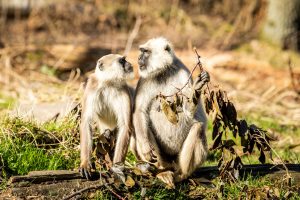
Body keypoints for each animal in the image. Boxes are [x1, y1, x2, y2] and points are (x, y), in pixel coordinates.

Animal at [132, 37, 210, 186]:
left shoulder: (183, 72)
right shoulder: (145, 80)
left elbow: (191, 114)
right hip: (163, 158)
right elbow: (139, 111)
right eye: (141, 51)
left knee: (198, 127)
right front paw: (145, 148)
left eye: (145, 52)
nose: (138, 58)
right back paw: (162, 172)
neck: (163, 72)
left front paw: (196, 89)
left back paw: (181, 174)